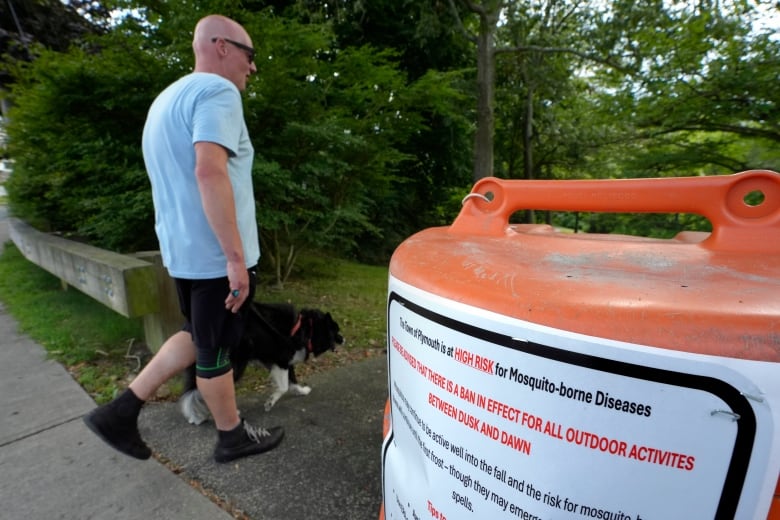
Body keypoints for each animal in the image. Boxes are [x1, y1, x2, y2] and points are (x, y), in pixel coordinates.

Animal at [182, 300, 344, 422]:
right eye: (336, 331)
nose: (344, 339)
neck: (306, 329)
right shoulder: (281, 360)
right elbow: (284, 387)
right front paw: (270, 402)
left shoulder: (284, 361)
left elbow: (293, 381)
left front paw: (301, 391)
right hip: (235, 364)